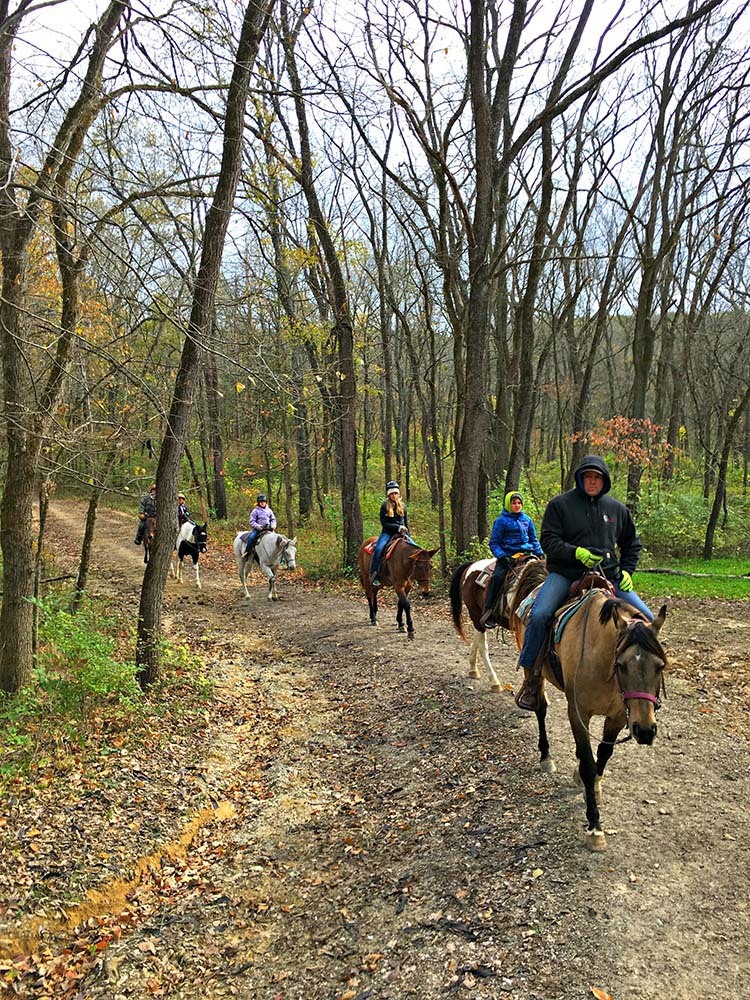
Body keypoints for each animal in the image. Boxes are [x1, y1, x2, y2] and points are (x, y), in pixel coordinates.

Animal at [450, 552, 544, 692]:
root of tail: (470, 566)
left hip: (478, 618)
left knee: (476, 639)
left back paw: (473, 669)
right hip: (475, 613)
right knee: (482, 646)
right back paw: (494, 682)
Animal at [512, 564, 668, 852]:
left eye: (660, 665)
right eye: (621, 665)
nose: (645, 731)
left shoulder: (618, 716)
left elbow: (603, 755)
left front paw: (593, 786)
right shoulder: (578, 713)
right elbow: (587, 762)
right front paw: (595, 826)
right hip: (533, 670)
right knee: (540, 708)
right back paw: (546, 757)